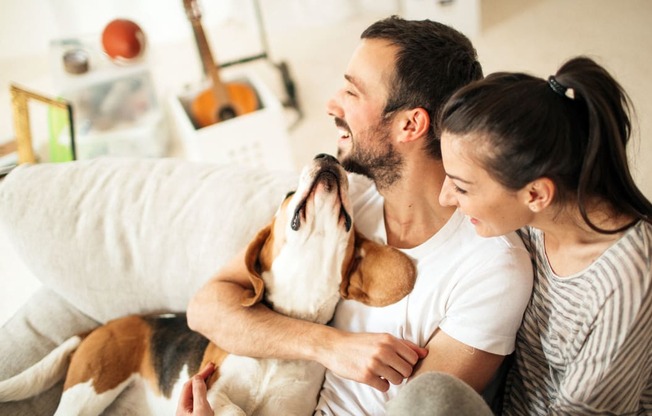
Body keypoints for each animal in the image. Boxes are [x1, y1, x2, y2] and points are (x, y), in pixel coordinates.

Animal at [0, 154, 418, 416]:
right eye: (287, 195)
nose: (327, 156)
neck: (287, 330)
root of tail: (103, 327)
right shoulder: (210, 389)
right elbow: (233, 409)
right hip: (89, 391)